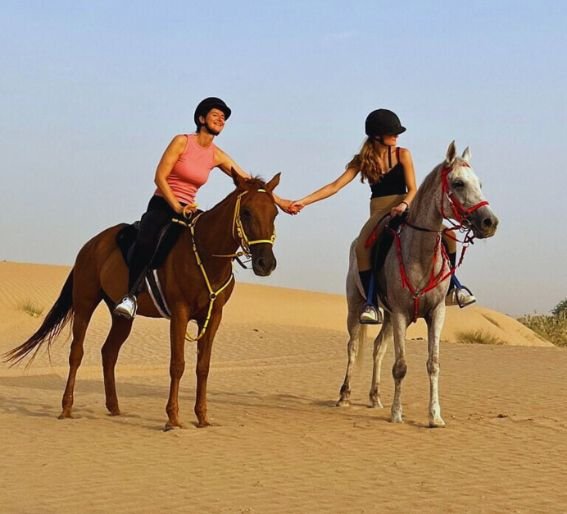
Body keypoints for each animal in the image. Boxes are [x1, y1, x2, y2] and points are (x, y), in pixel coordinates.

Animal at [4, 172, 280, 428]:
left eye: (275, 213)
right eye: (246, 212)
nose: (265, 263)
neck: (206, 254)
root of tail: (91, 245)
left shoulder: (212, 318)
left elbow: (203, 366)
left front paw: (202, 418)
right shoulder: (179, 313)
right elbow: (177, 364)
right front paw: (172, 419)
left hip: (121, 316)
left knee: (109, 352)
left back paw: (114, 407)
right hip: (84, 303)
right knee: (77, 352)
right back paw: (66, 408)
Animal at [340, 142, 500, 426]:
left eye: (479, 183)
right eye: (458, 183)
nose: (489, 222)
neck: (420, 256)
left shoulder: (436, 312)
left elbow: (433, 363)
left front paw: (435, 416)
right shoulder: (402, 315)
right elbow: (400, 366)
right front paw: (396, 414)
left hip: (387, 316)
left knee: (378, 349)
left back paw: (375, 398)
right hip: (356, 306)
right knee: (353, 347)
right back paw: (344, 396)